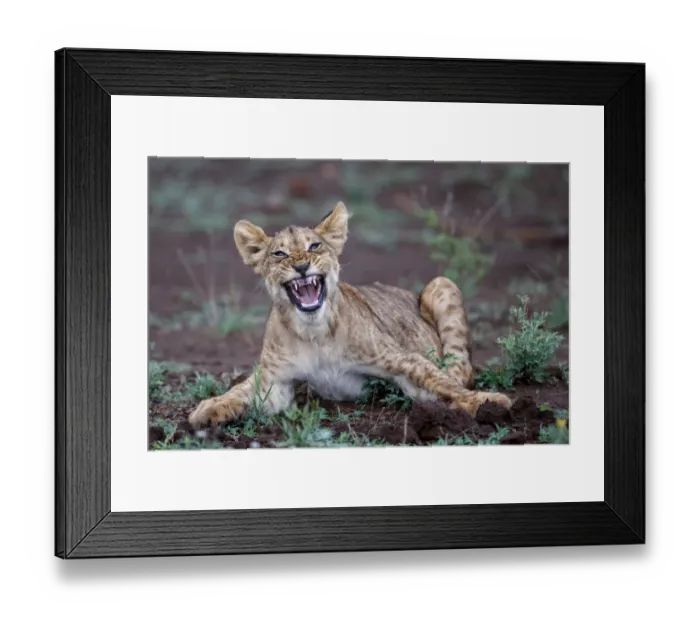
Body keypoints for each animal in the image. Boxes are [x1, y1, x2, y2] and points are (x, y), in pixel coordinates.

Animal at [189, 201, 512, 428]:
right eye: (279, 254)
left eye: (314, 246)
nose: (302, 266)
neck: (314, 332)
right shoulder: (274, 381)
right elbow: (240, 391)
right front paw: (207, 409)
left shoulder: (400, 359)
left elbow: (439, 382)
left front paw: (488, 403)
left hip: (441, 283)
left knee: (461, 370)